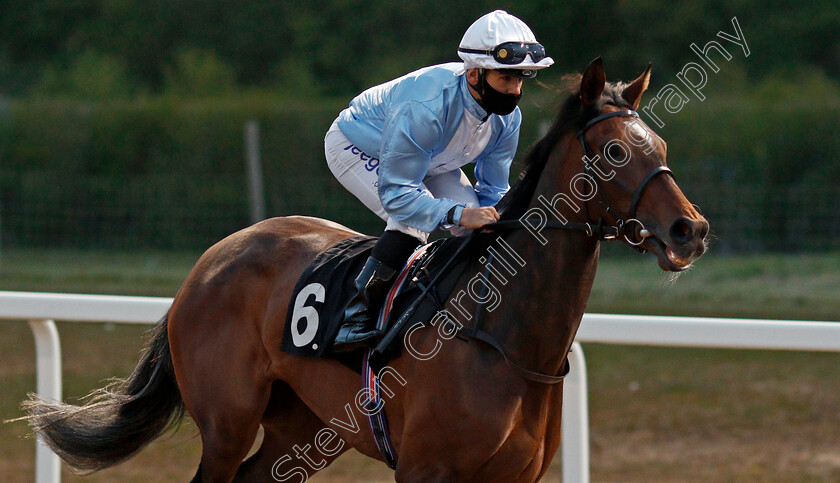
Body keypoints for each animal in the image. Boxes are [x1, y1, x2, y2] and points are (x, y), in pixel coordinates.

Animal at [21, 58, 708, 482]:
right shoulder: (424, 470)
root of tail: (211, 261)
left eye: (661, 147)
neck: (507, 337)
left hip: (299, 429)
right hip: (226, 422)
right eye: (613, 150)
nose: (690, 230)